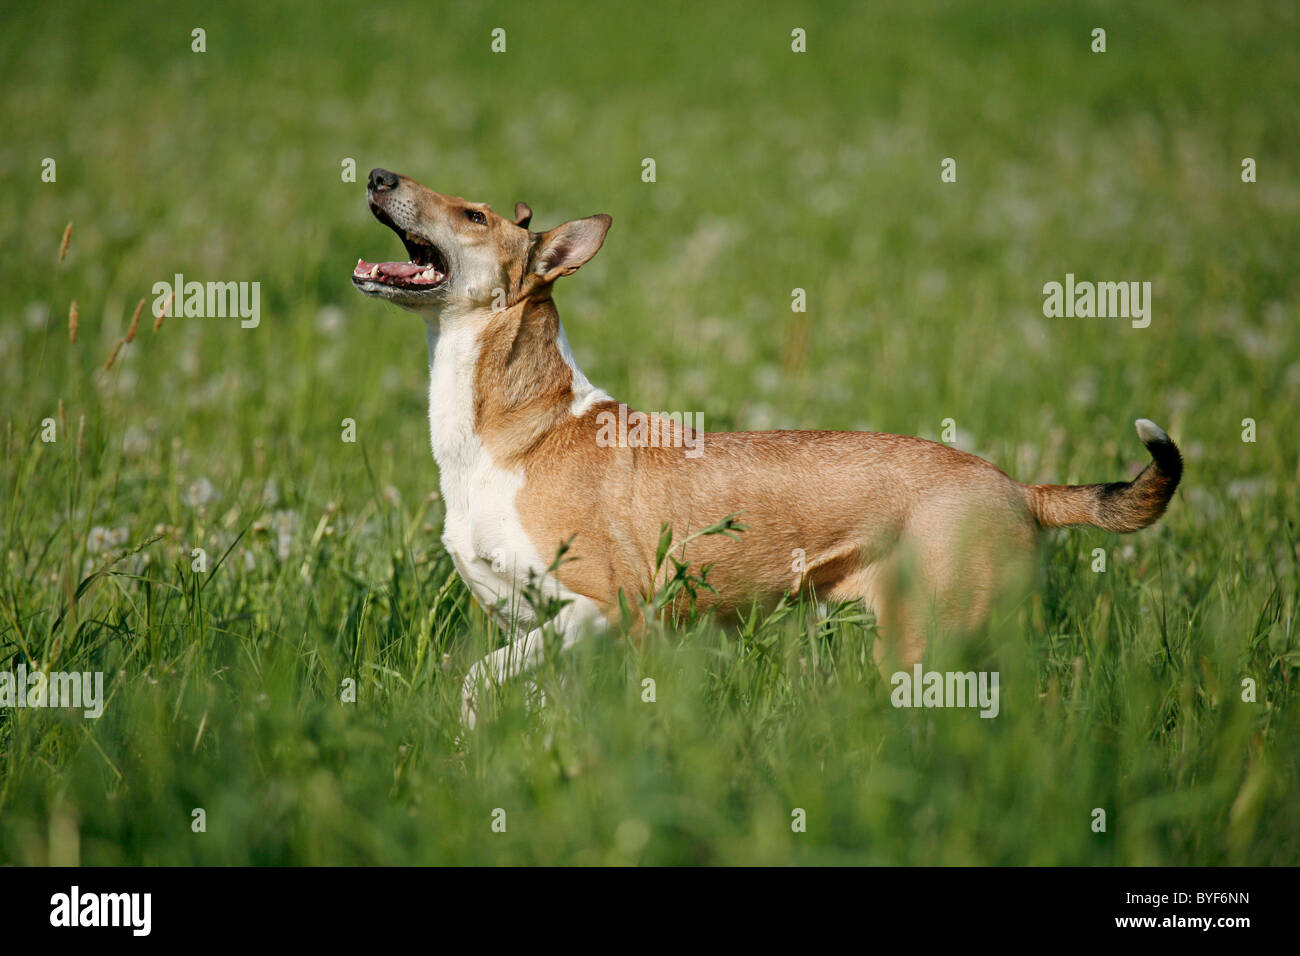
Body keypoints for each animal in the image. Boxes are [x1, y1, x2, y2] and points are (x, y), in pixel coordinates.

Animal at [351, 170, 1185, 723]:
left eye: (472, 213)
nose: (379, 174)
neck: (515, 431)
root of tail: (1018, 487)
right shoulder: (538, 631)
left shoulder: (606, 609)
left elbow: (476, 679)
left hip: (933, 642)